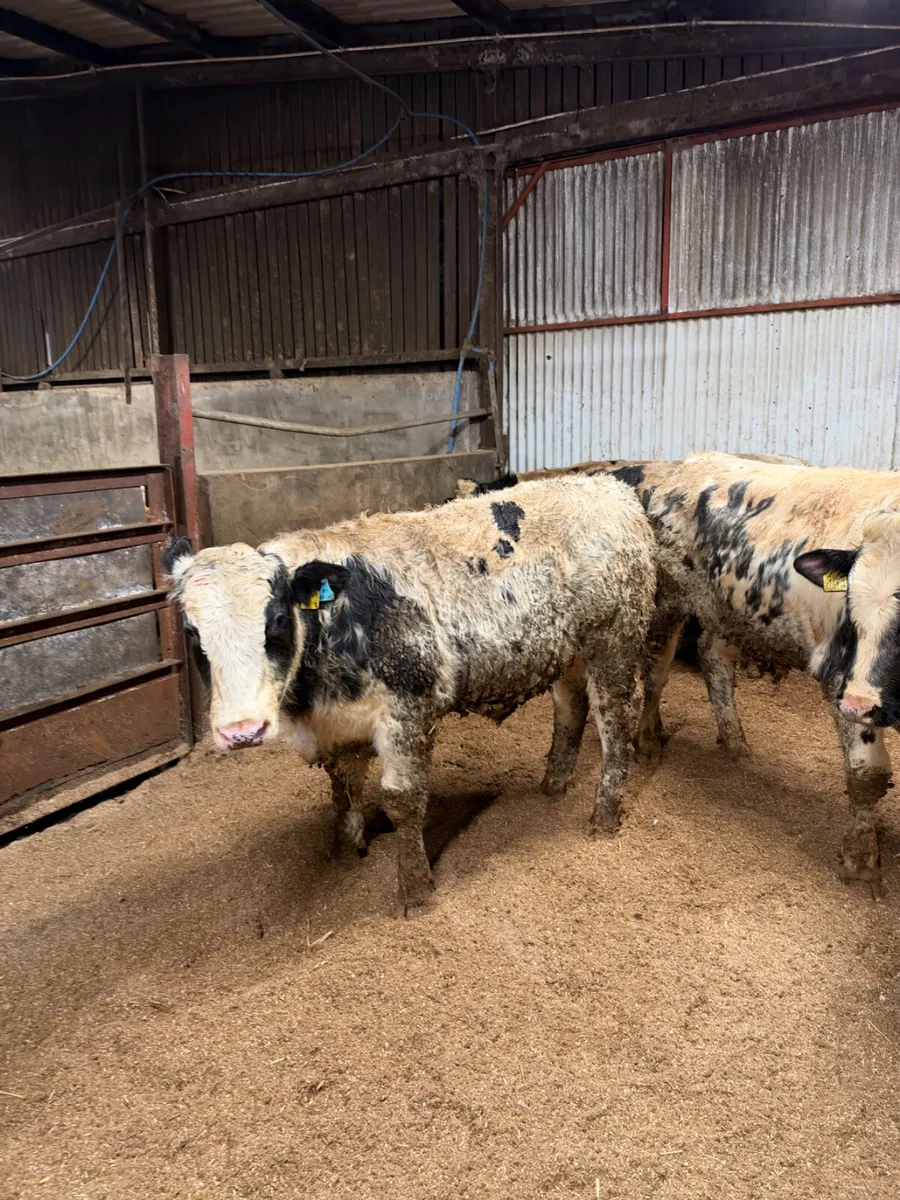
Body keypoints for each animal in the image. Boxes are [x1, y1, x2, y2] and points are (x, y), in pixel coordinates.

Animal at [163, 477, 656, 912]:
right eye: (191, 631)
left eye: (278, 620)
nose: (242, 730)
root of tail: (606, 487)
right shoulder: (339, 726)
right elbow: (343, 792)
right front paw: (350, 857)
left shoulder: (408, 710)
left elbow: (402, 801)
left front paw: (415, 892)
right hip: (567, 649)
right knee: (570, 708)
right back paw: (553, 786)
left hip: (615, 638)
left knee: (617, 717)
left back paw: (604, 817)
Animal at [474, 453, 900, 894]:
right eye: (852, 599)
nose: (860, 700)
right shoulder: (843, 678)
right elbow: (867, 773)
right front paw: (861, 862)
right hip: (669, 603)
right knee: (657, 672)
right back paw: (649, 741)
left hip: (726, 608)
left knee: (710, 656)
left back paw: (734, 743)